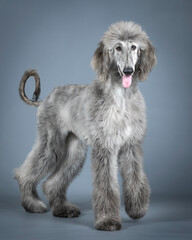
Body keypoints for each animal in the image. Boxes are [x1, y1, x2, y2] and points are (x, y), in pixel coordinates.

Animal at [14, 22, 156, 231]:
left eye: (134, 47)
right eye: (117, 48)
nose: (129, 71)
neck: (121, 97)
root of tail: (45, 99)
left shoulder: (131, 145)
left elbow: (135, 177)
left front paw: (137, 208)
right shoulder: (105, 147)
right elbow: (106, 185)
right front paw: (108, 220)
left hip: (75, 149)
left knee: (52, 183)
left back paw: (62, 209)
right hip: (51, 143)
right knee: (26, 173)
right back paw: (32, 204)